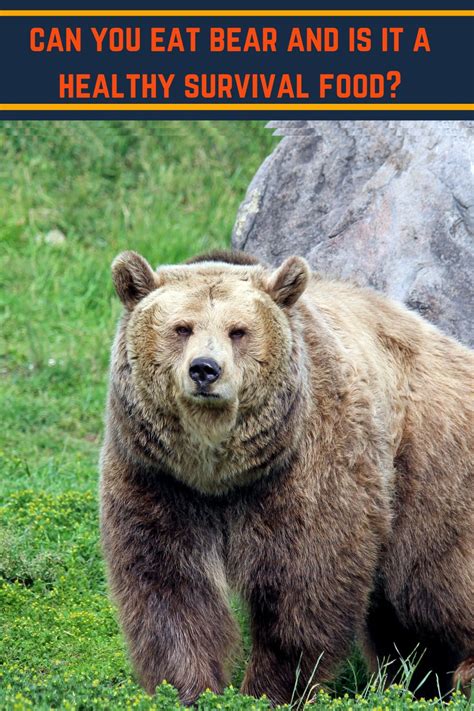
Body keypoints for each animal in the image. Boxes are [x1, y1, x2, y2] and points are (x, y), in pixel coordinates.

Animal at [100, 249, 474, 706]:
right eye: (182, 328)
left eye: (238, 331)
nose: (205, 370)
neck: (218, 474)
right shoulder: (158, 478)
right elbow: (169, 586)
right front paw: (188, 689)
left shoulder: (305, 466)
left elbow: (304, 582)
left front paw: (270, 689)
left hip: (428, 465)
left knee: (436, 582)